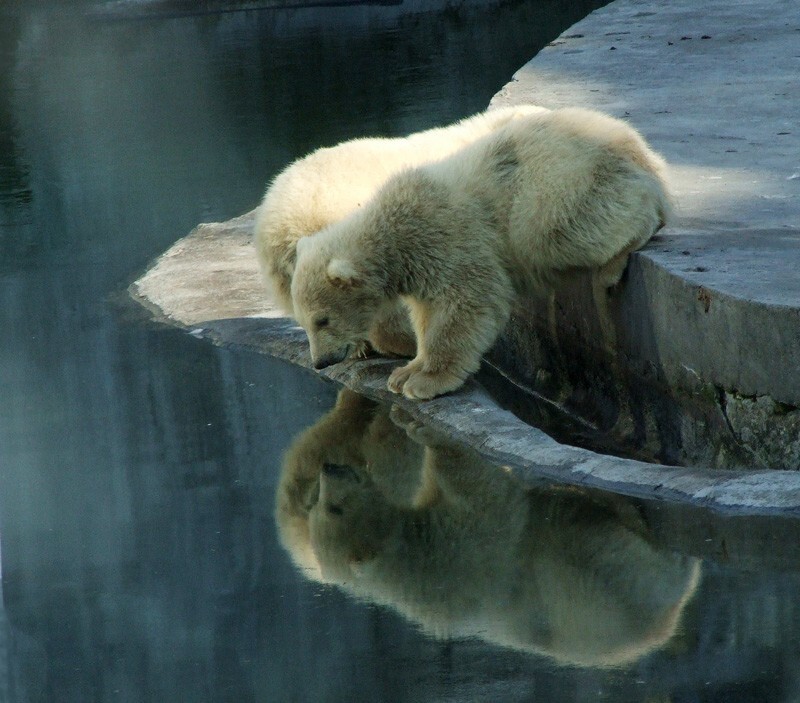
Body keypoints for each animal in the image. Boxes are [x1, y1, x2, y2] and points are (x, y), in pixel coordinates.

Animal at [290, 108, 672, 398]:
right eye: (304, 321)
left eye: (322, 319)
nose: (321, 362)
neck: (394, 226)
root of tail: (640, 151)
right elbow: (425, 314)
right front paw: (404, 372)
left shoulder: (448, 239)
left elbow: (466, 304)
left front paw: (425, 382)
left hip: (559, 181)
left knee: (557, 228)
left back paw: (616, 259)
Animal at [294, 410, 700, 668]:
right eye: (320, 505)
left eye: (331, 508)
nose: (328, 466)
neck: (418, 564)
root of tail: (669, 615)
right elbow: (474, 489)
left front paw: (413, 421)